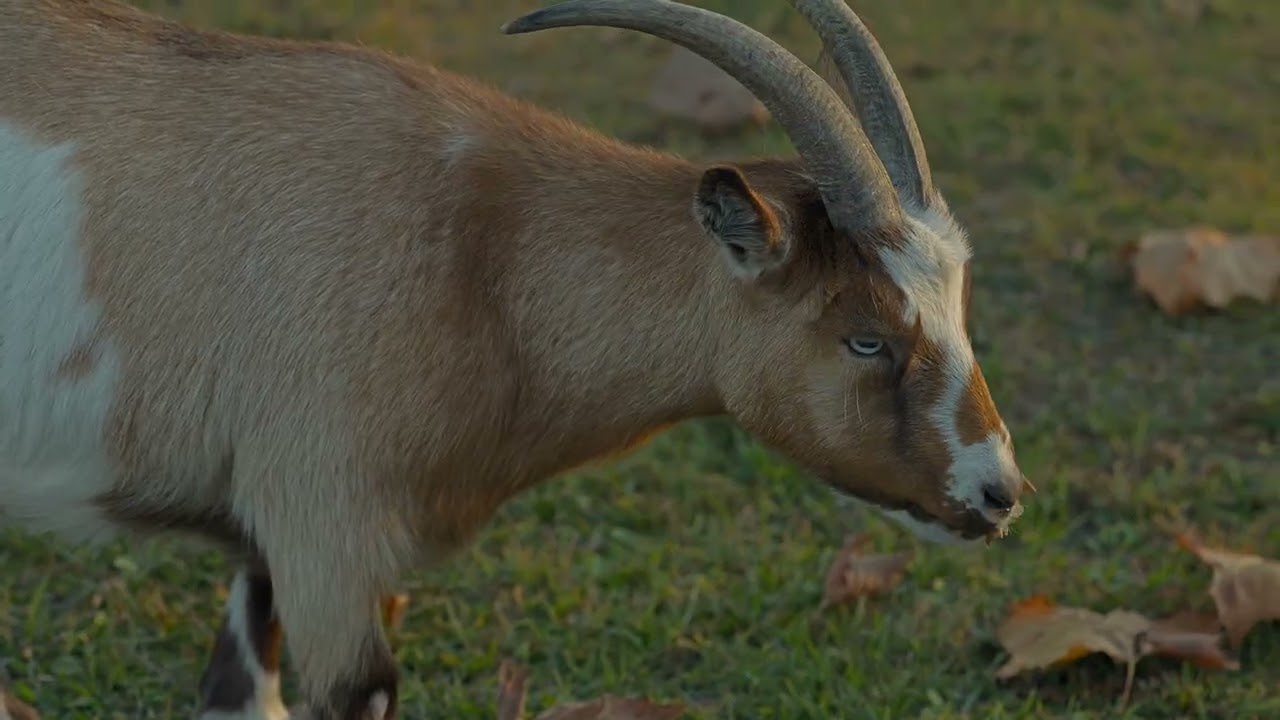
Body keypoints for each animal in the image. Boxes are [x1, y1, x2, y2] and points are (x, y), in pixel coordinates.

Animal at [0, 0, 1032, 718]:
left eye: (956, 303)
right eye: (866, 334)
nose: (997, 493)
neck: (479, 244)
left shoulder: (269, 538)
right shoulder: (325, 529)